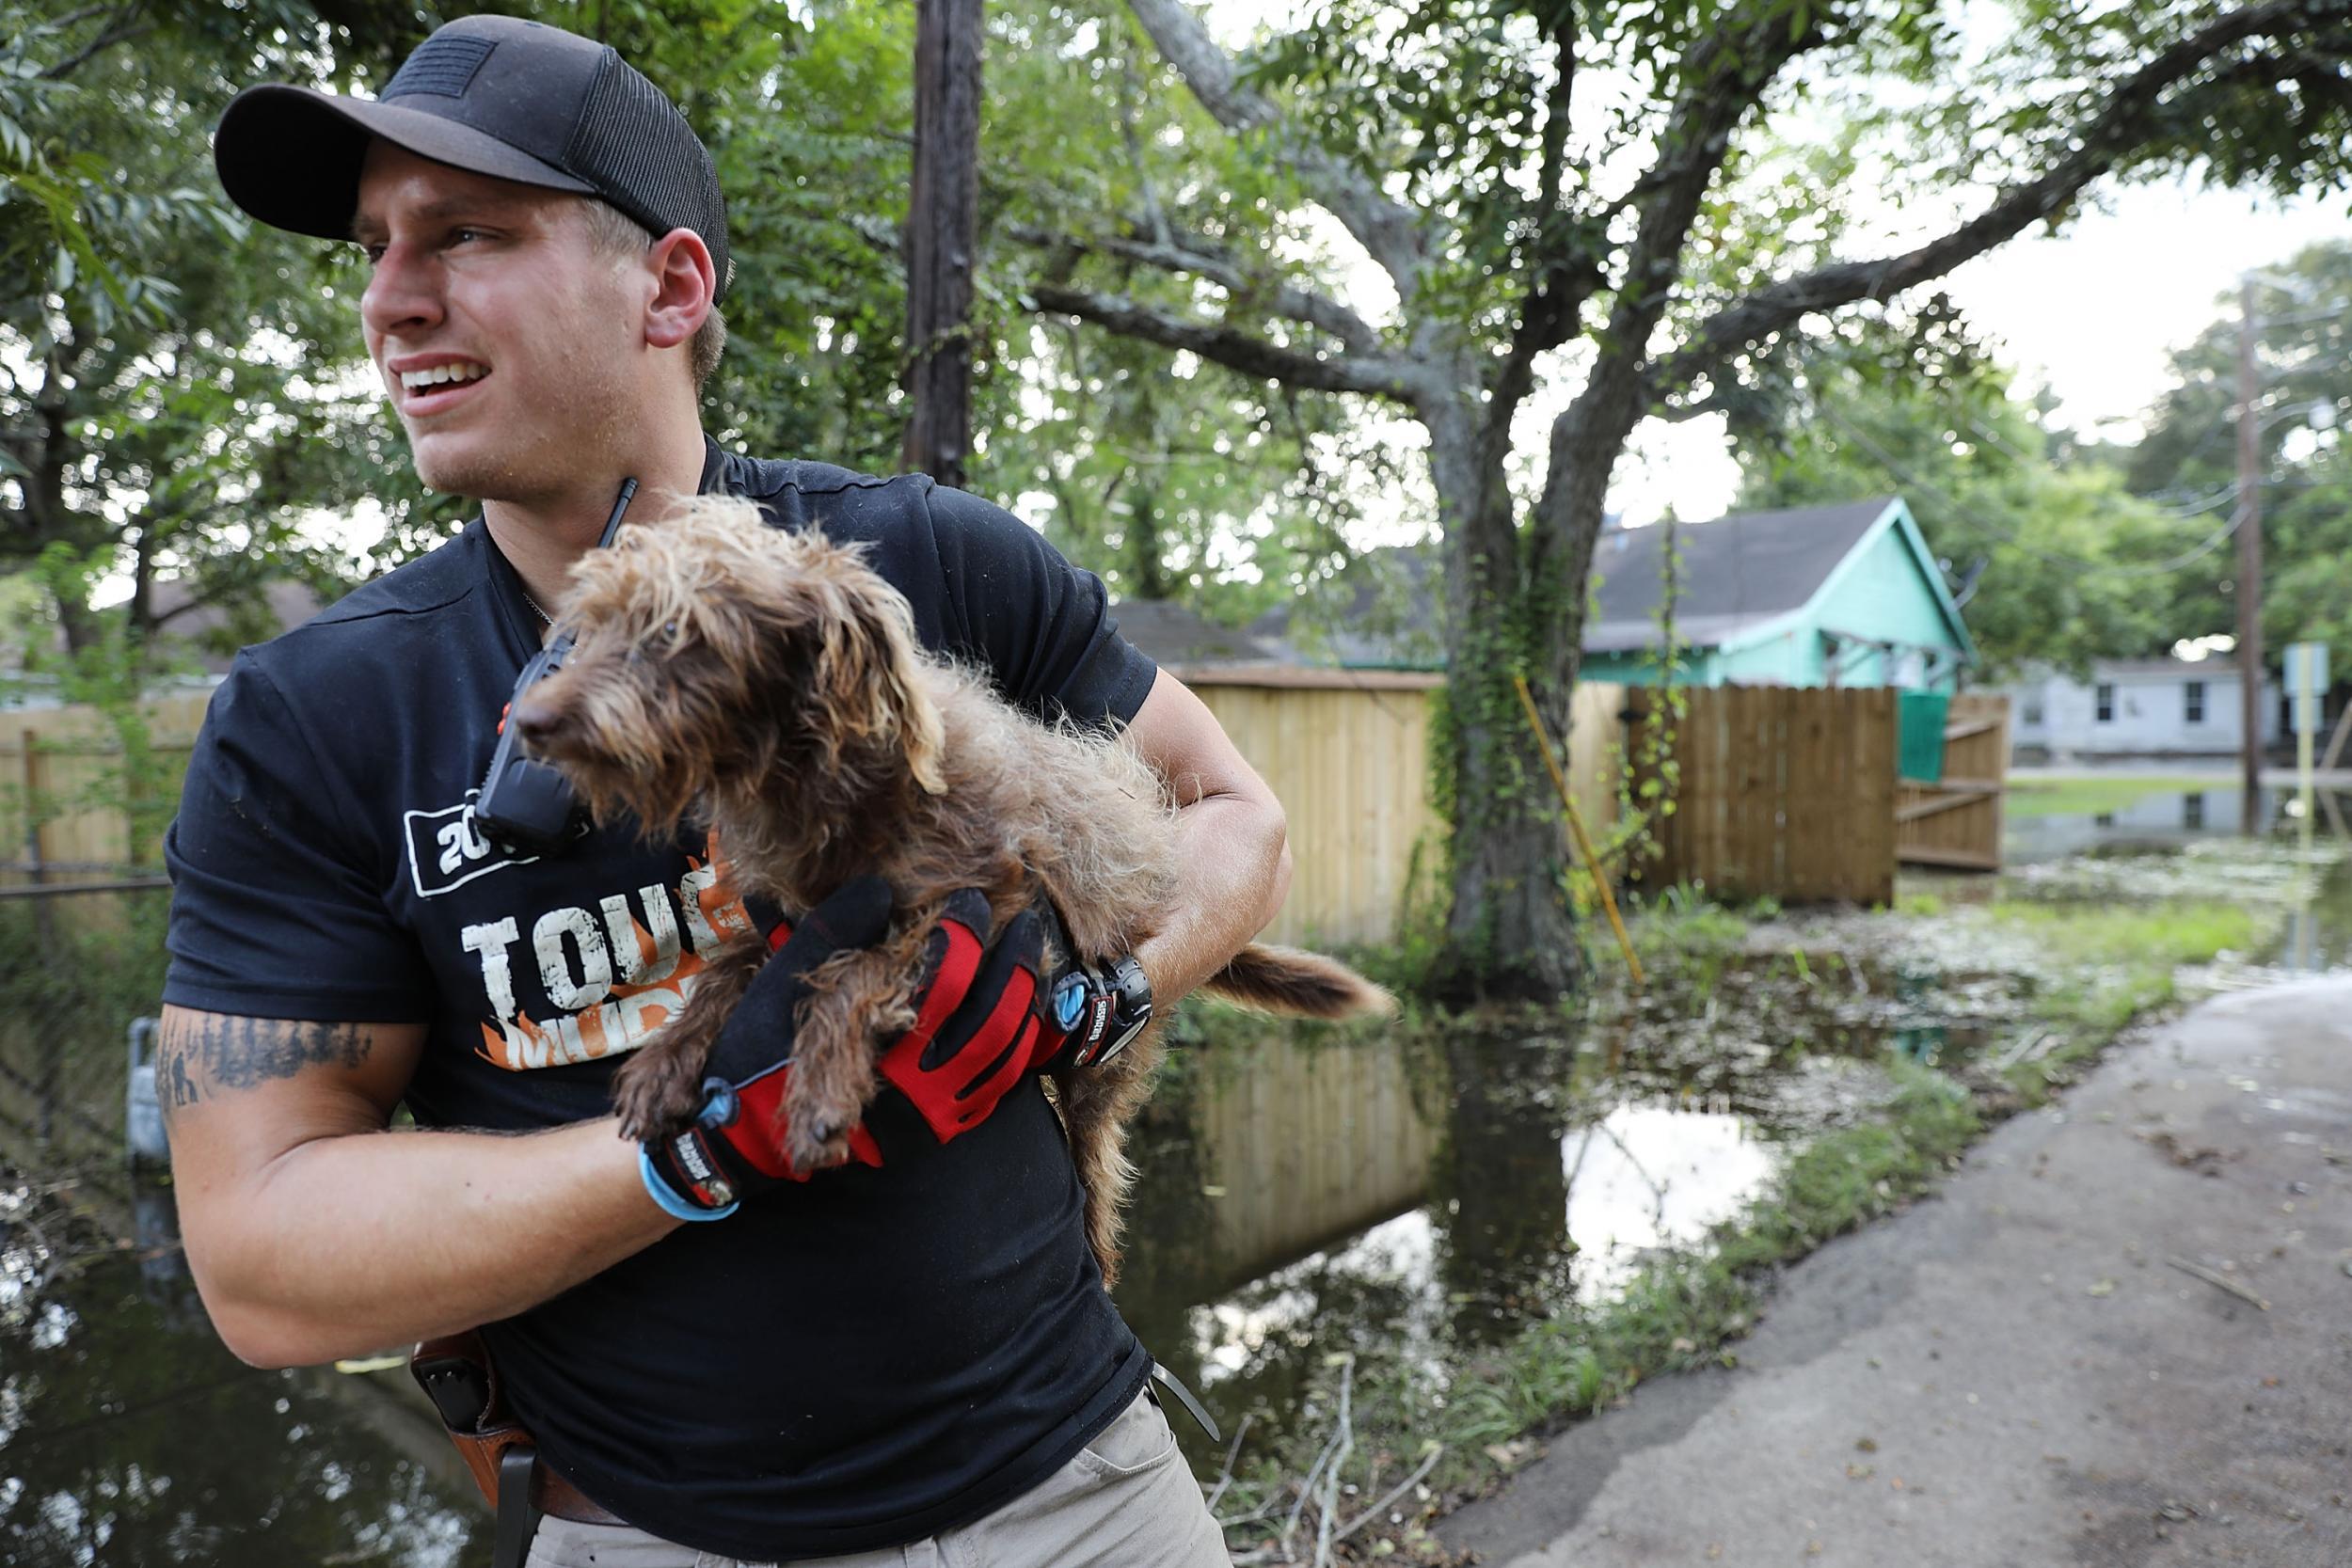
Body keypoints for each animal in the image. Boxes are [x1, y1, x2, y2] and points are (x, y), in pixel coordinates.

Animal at [513, 496, 1383, 1278]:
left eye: (674, 631)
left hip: (1098, 1080)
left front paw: (818, 1085)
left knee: (1098, 1181)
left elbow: (857, 969)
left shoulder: (986, 901)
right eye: (592, 623)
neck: (822, 782)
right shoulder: (792, 917)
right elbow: (728, 972)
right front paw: (667, 1061)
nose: (529, 722)